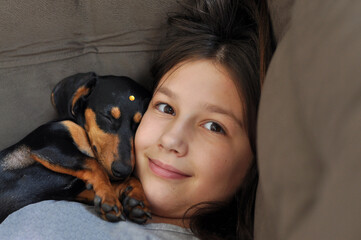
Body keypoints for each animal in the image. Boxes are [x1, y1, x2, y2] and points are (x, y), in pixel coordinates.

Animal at [0, 72, 150, 224]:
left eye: (139, 124)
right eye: (107, 116)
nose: (123, 171)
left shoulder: (74, 192)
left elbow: (128, 180)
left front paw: (136, 200)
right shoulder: (51, 146)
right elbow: (94, 164)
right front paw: (109, 197)